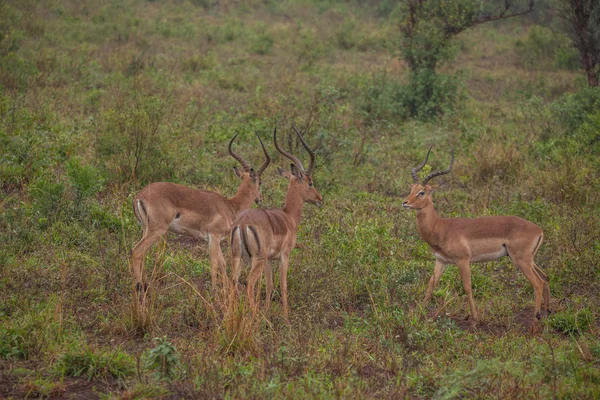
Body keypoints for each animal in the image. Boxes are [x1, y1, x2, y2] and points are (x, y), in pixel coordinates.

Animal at [134, 133, 272, 292]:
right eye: (260, 182)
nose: (260, 199)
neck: (230, 206)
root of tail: (140, 196)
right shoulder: (213, 237)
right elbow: (214, 264)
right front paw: (214, 291)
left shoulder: (215, 240)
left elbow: (223, 264)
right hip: (157, 230)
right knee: (136, 252)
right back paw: (138, 288)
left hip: (146, 229)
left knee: (142, 255)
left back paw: (145, 285)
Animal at [231, 126, 324, 324]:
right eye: (310, 182)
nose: (320, 199)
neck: (288, 217)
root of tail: (242, 224)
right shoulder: (284, 256)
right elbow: (283, 285)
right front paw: (287, 320)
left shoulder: (269, 260)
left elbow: (269, 285)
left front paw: (267, 311)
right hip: (255, 260)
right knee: (249, 284)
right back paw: (256, 318)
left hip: (238, 257)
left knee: (232, 282)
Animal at [400, 148, 552, 324]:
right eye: (411, 189)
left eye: (422, 192)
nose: (405, 202)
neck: (441, 228)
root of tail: (539, 230)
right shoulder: (441, 261)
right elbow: (432, 283)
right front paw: (419, 313)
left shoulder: (463, 260)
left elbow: (467, 287)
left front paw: (474, 319)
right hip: (527, 260)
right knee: (545, 277)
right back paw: (547, 312)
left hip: (521, 260)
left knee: (538, 283)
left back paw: (535, 320)